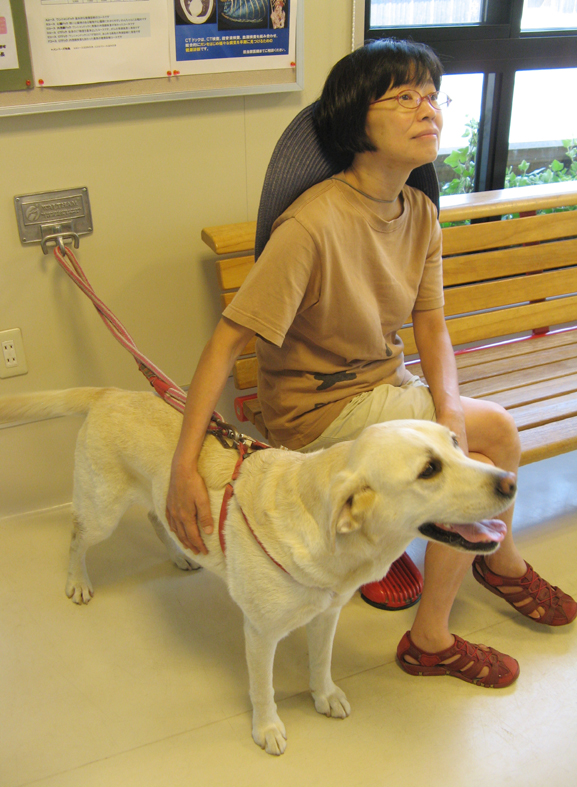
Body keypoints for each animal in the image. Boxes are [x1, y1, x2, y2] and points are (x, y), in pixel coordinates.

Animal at [0, 388, 516, 755]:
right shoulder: (261, 633)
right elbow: (263, 687)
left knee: (156, 514)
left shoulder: (327, 615)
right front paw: (267, 728)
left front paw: (324, 695)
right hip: (102, 511)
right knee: (76, 536)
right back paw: (77, 581)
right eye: (429, 470)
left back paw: (180, 552)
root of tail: (109, 390)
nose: (510, 482)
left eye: (456, 443)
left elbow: (321, 662)